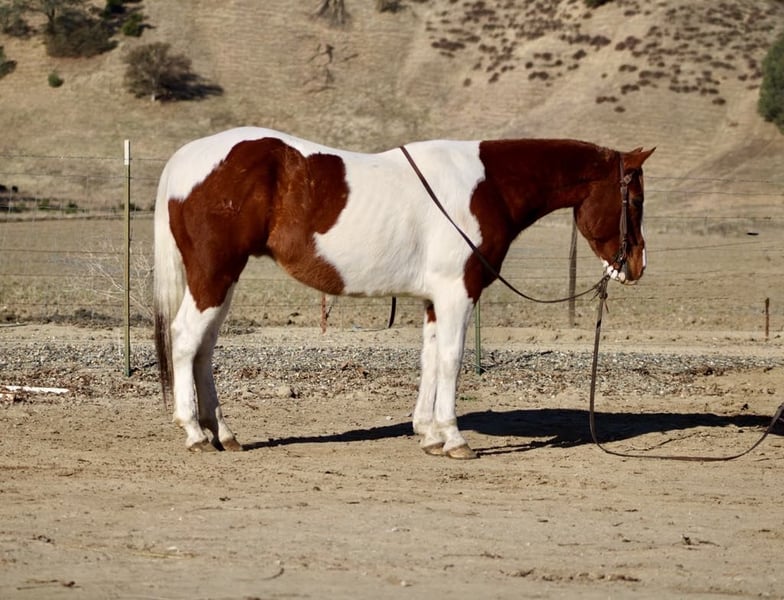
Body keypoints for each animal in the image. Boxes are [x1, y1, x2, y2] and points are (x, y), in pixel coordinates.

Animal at [153, 127, 654, 458]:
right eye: (634, 200)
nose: (635, 267)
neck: (488, 186)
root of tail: (185, 160)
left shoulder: (435, 300)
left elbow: (430, 358)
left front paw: (429, 434)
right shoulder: (457, 293)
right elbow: (451, 359)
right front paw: (454, 439)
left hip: (221, 280)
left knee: (203, 349)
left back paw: (223, 433)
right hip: (214, 276)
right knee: (186, 340)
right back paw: (195, 434)